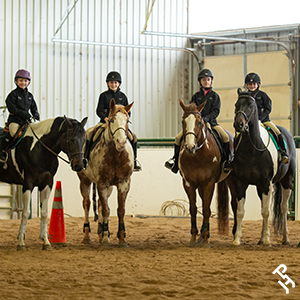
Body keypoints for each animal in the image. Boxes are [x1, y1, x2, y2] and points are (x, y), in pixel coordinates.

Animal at [0, 116, 88, 250]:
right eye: (72, 140)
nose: (79, 166)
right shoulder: (28, 184)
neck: (39, 149)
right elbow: (26, 212)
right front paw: (21, 242)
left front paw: (46, 241)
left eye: (84, 140)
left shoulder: (47, 183)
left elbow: (45, 212)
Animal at [77, 99, 134, 247]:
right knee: (87, 204)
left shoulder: (123, 183)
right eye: (112, 120)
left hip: (109, 187)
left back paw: (102, 232)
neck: (115, 154)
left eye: (127, 120)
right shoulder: (102, 183)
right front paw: (104, 240)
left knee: (100, 203)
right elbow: (106, 210)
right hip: (85, 181)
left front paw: (121, 238)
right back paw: (87, 236)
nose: (121, 142)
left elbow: (120, 210)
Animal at [178, 98, 237, 246]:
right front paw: (194, 237)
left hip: (231, 181)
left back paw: (234, 235)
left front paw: (205, 238)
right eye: (183, 122)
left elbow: (206, 209)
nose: (190, 147)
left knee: (235, 204)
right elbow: (193, 209)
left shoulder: (209, 184)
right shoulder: (188, 184)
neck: (198, 156)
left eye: (199, 122)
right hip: (200, 187)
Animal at [232, 88, 296, 246]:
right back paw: (261, 238)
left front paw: (267, 239)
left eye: (250, 105)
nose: (239, 125)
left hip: (286, 182)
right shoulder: (240, 183)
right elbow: (240, 211)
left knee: (283, 208)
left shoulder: (267, 183)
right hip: (260, 188)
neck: (252, 150)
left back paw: (285, 238)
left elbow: (266, 212)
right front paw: (237, 239)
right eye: (236, 105)